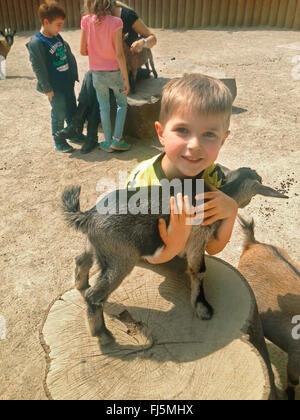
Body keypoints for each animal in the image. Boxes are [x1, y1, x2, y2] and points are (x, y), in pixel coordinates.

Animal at [61, 167, 288, 344]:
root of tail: (88, 215)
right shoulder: (198, 237)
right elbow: (198, 270)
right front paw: (202, 308)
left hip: (97, 246)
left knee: (81, 260)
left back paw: (81, 285)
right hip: (121, 258)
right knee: (95, 295)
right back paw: (102, 334)